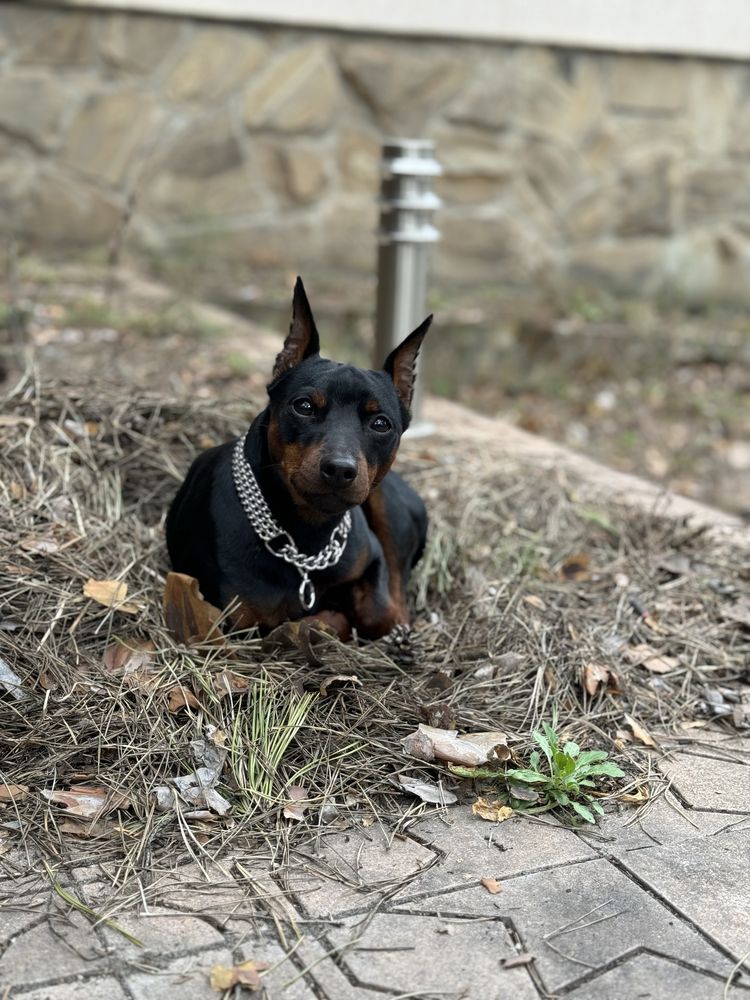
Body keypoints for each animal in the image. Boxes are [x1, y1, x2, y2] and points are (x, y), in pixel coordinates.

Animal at [167, 280, 432, 640]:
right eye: (304, 406)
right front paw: (325, 619)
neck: (307, 535)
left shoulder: (372, 558)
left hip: (385, 503)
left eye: (381, 424)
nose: (340, 469)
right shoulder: (237, 623)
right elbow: (301, 622)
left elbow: (378, 612)